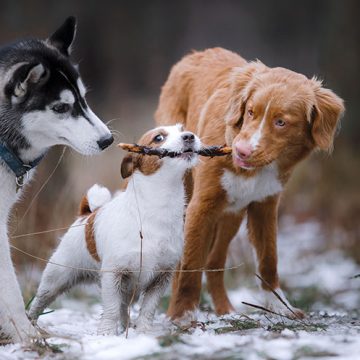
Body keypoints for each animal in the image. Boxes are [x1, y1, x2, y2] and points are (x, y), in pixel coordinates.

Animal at [29, 125, 201, 336]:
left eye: (182, 129)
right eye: (158, 138)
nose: (189, 136)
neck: (158, 206)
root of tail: (87, 214)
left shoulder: (161, 277)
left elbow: (148, 309)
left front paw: (143, 331)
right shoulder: (114, 274)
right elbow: (111, 308)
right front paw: (106, 333)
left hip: (127, 287)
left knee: (124, 307)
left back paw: (126, 326)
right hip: (56, 277)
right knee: (40, 300)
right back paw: (31, 323)